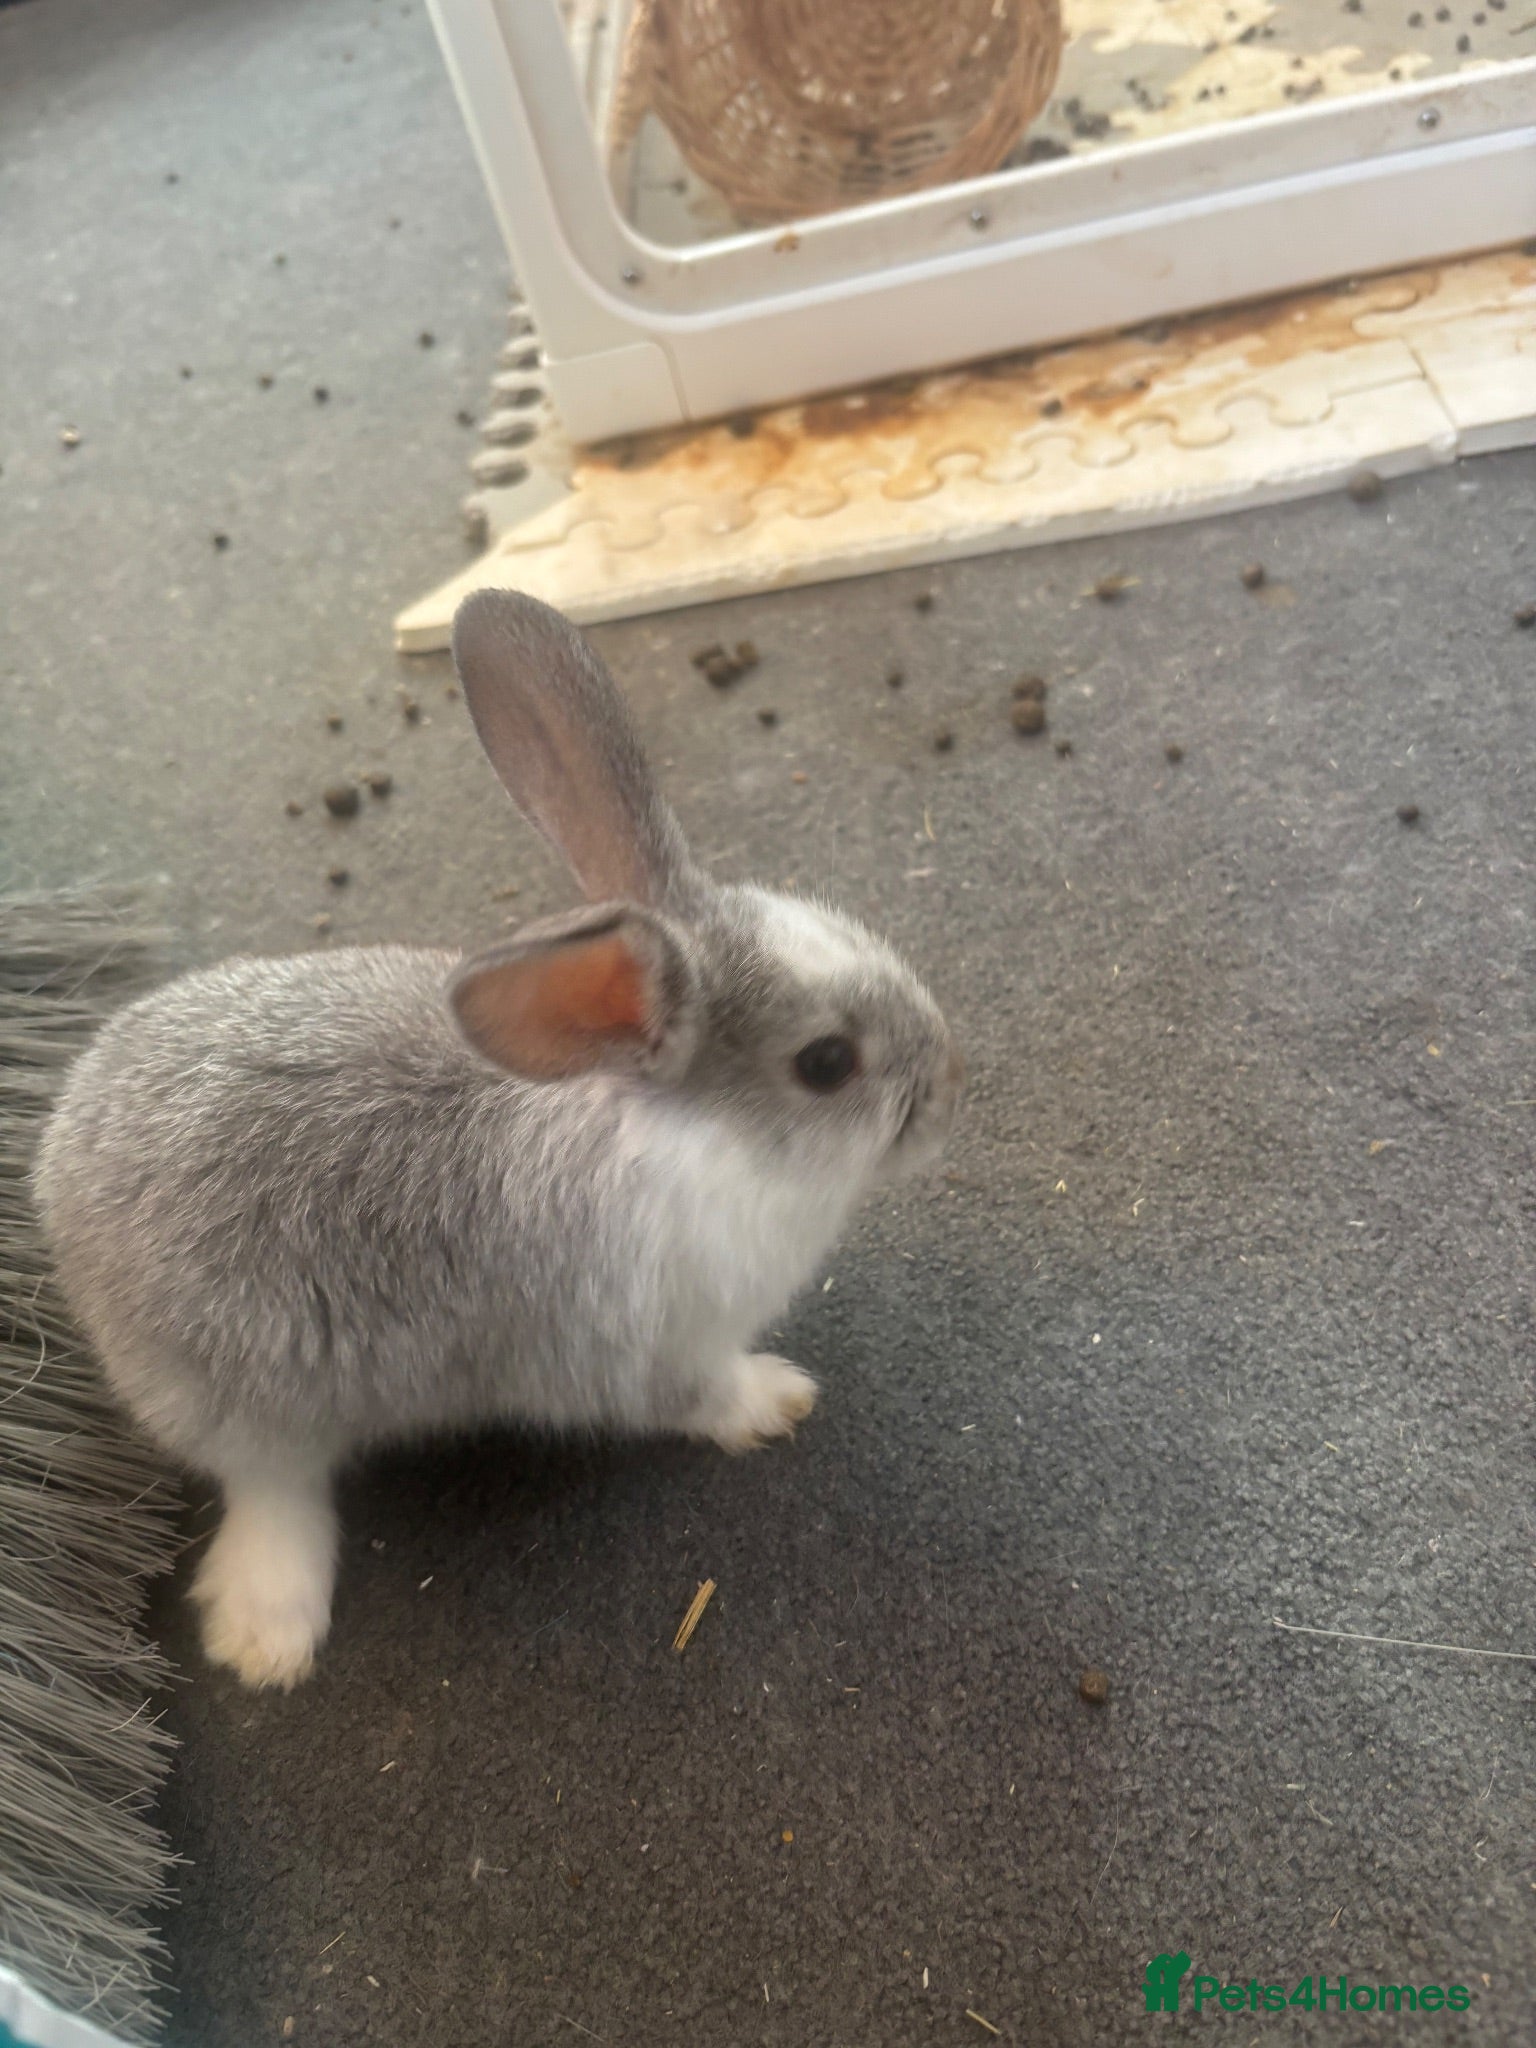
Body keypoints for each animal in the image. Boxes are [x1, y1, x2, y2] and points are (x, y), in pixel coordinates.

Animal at [33, 591, 962, 1690]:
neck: (699, 1132)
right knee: (273, 1490)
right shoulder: (648, 1345)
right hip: (241, 1391)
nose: (948, 1086)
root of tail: (60, 1159)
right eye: (826, 1062)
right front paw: (779, 1400)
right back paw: (268, 1639)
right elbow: (700, 1395)